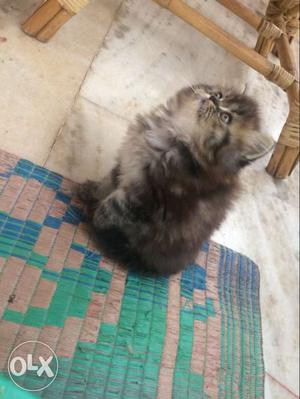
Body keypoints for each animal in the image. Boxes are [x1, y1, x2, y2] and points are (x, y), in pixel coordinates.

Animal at [78, 84, 274, 276]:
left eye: (225, 117)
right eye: (220, 95)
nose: (212, 98)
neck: (176, 133)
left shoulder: (146, 195)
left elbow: (113, 207)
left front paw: (96, 218)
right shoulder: (128, 165)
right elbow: (108, 181)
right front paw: (90, 191)